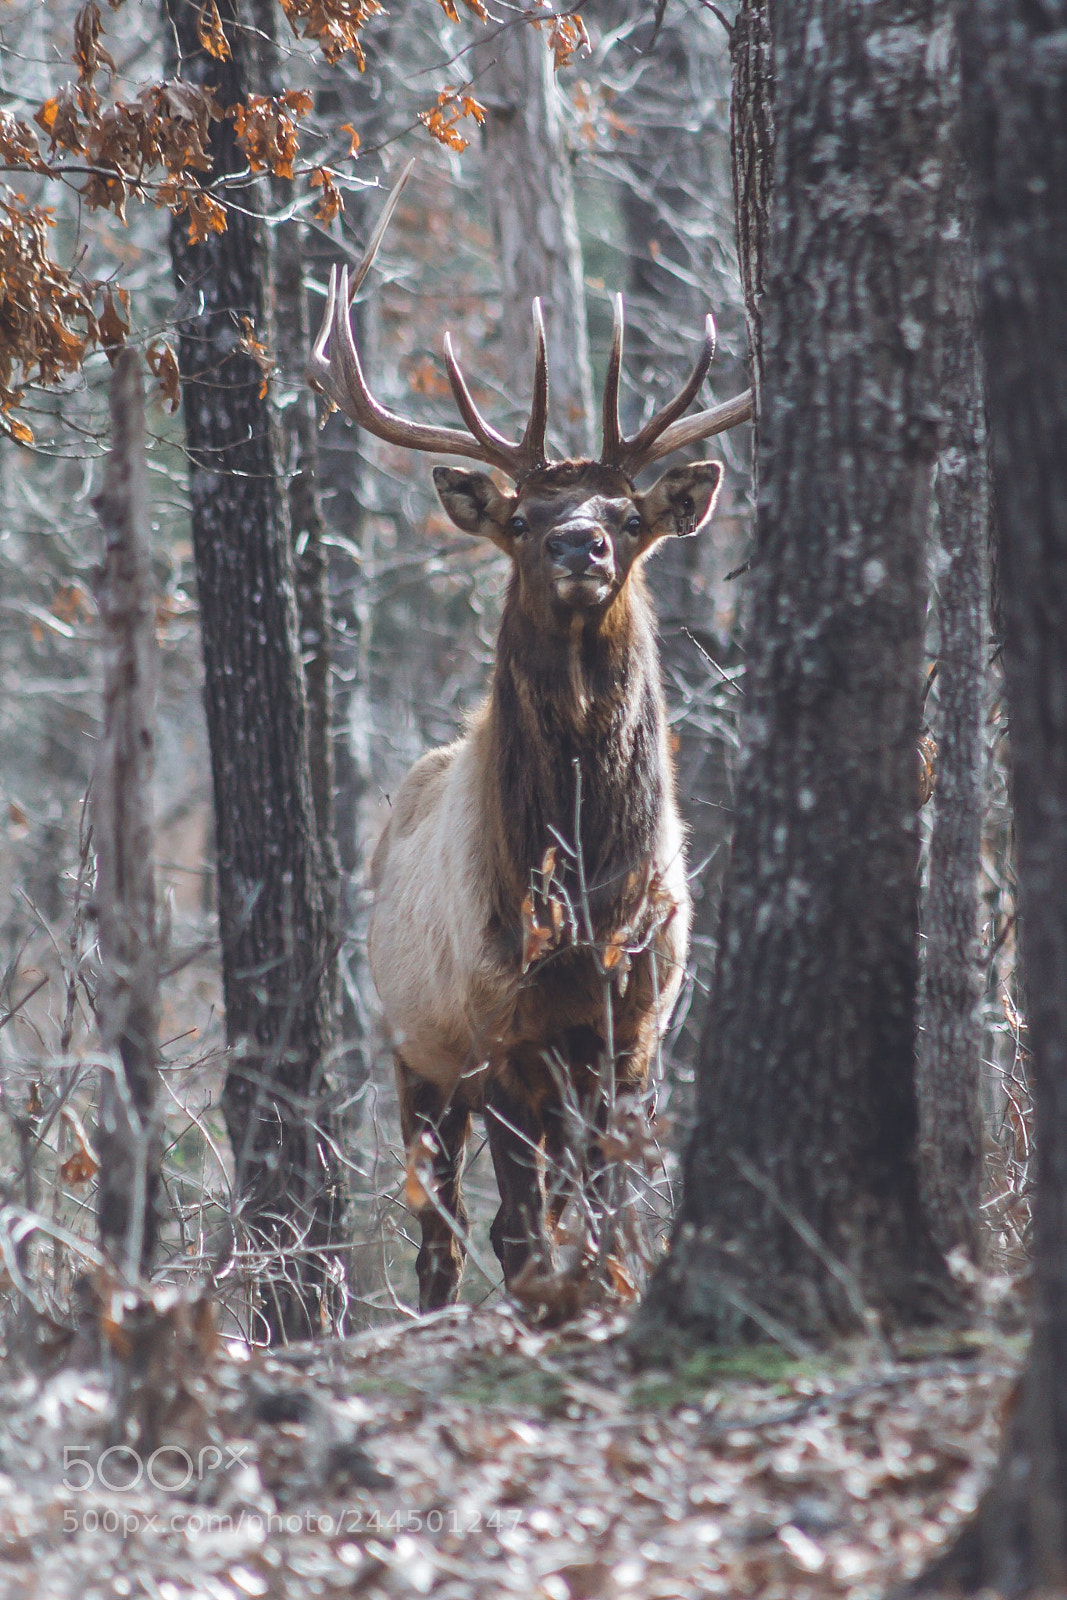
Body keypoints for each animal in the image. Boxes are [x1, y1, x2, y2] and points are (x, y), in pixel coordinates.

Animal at [309, 176, 753, 1314]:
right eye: (519, 517)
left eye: (629, 515)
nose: (577, 544)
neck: (583, 912)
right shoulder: (494, 1034)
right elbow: (518, 1230)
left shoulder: (634, 1034)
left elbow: (608, 1215)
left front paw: (601, 1291)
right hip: (413, 1052)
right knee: (442, 1229)